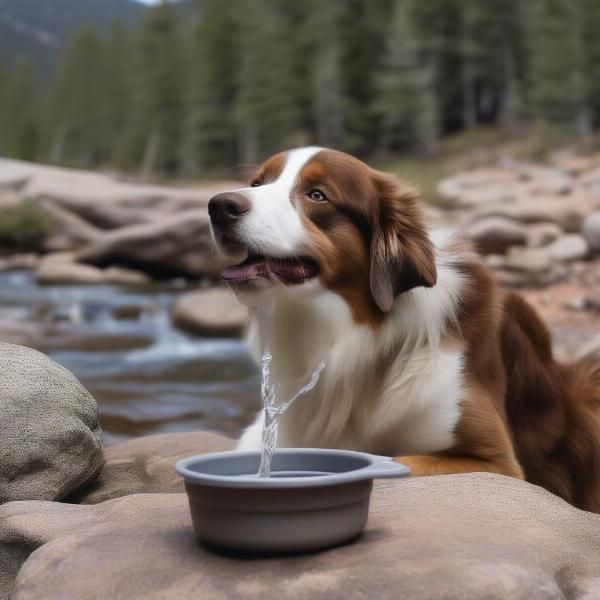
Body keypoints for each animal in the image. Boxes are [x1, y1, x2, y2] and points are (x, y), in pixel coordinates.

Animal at [207, 145, 600, 510]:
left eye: (317, 195)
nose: (218, 206)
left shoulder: (496, 461)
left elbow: (390, 459)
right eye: (257, 183)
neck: (349, 338)